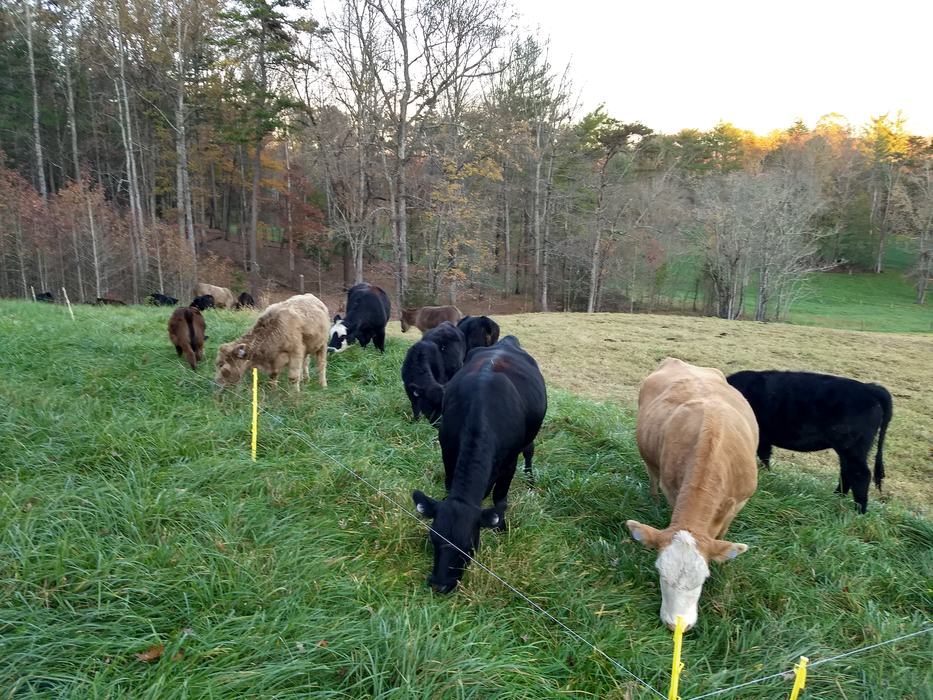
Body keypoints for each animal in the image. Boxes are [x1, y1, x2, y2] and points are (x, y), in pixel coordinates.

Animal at [412, 336, 547, 594]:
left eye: (469, 546)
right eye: (433, 538)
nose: (439, 584)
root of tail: (507, 341)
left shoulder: (509, 462)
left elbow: (500, 498)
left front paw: (502, 528)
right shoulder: (447, 450)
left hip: (529, 439)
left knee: (529, 451)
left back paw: (530, 479)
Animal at [626, 358, 758, 632]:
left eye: (704, 577)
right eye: (660, 572)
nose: (677, 625)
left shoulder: (740, 502)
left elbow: (722, 535)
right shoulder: (672, 490)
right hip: (650, 459)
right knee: (652, 476)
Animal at [726, 370, 893, 514]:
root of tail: (870, 388)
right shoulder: (764, 439)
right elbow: (765, 456)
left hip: (852, 447)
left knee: (860, 475)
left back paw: (859, 512)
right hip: (847, 449)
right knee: (847, 472)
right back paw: (835, 498)